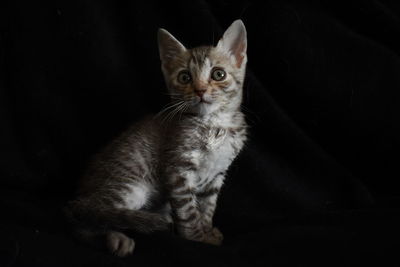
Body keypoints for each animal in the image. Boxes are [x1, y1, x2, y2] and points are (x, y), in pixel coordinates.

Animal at [65, 19, 247, 258]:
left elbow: (207, 208)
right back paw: (115, 238)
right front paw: (197, 239)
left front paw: (208, 231)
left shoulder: (216, 175)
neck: (213, 124)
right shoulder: (178, 170)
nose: (200, 90)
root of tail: (80, 193)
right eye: (185, 77)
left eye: (218, 74)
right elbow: (188, 212)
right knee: (87, 216)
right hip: (130, 189)